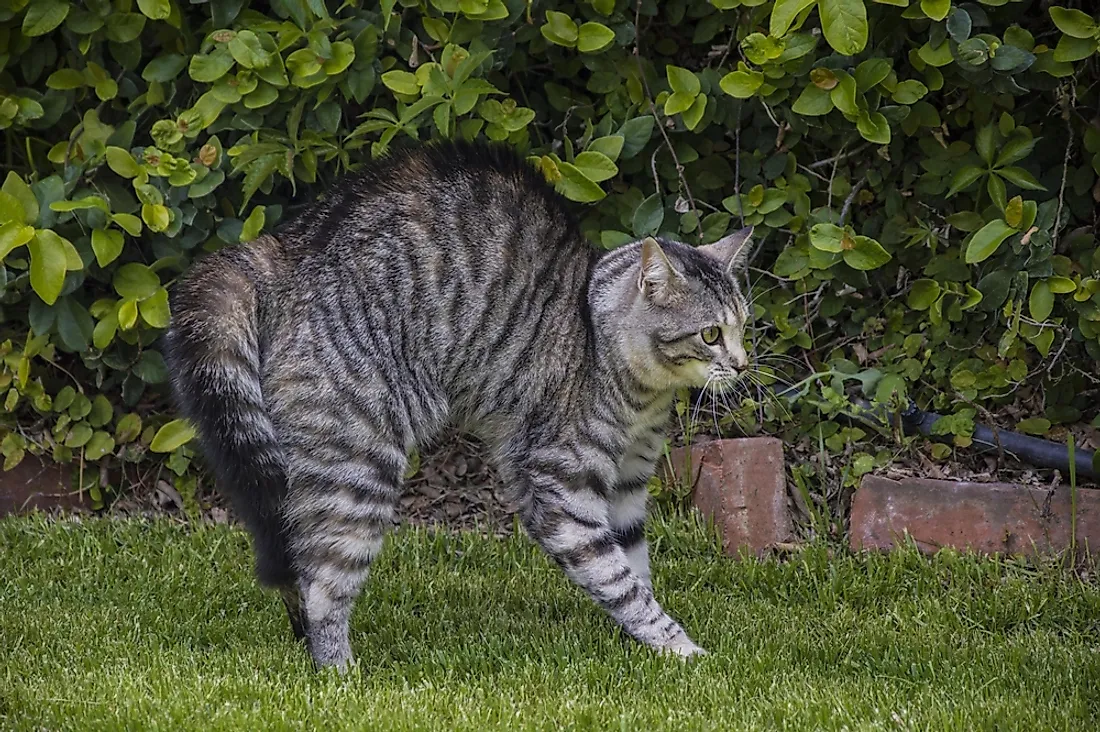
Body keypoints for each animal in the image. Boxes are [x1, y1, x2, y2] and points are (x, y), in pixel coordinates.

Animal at [165, 139, 756, 669]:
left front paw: (643, 643)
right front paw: (675, 645)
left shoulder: (630, 481)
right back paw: (339, 673)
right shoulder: (559, 480)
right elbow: (614, 574)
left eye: (742, 326)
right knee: (323, 585)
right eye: (709, 334)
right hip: (360, 464)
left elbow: (633, 560)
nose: (743, 364)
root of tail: (287, 247)